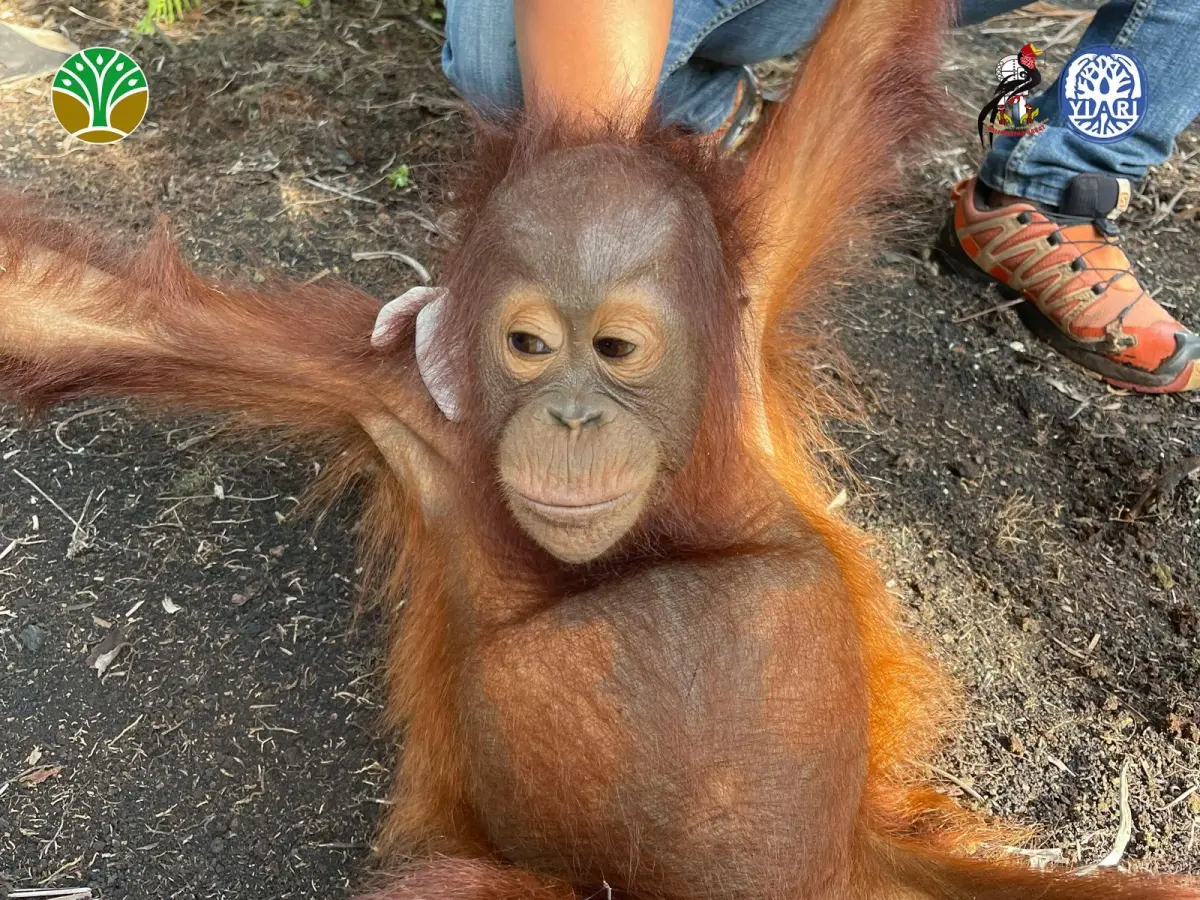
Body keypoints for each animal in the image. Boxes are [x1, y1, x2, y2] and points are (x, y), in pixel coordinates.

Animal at [0, 0, 1198, 898]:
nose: (572, 418)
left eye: (615, 348)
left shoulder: (751, 282)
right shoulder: (391, 388)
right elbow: (87, 315)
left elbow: (860, 52)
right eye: (529, 346)